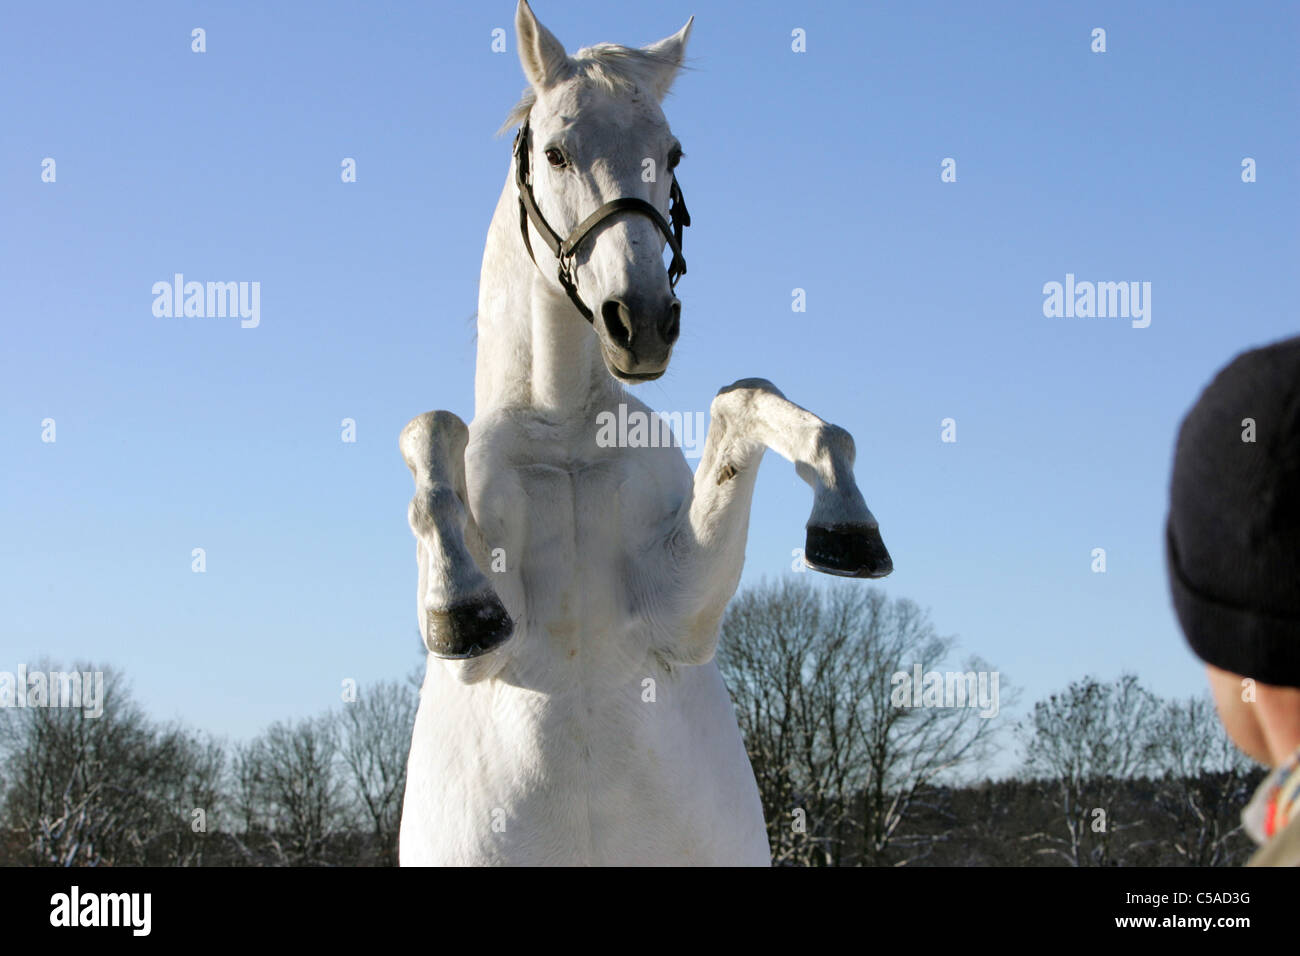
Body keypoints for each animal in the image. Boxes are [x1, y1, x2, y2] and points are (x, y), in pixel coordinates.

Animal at [395, 1, 889, 868]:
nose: (644, 321)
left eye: (672, 152)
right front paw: (459, 600)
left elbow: (748, 405)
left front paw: (847, 526)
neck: (563, 430)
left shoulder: (679, 618)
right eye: (555, 151)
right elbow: (431, 432)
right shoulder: (489, 661)